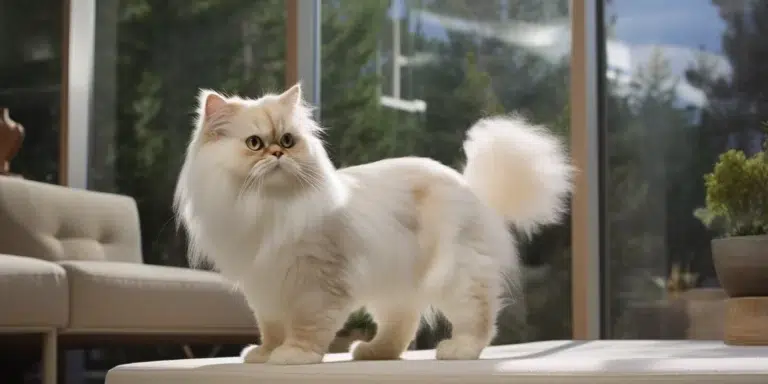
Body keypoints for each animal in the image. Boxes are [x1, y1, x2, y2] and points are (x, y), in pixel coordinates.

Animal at [172, 84, 568, 366]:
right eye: (254, 144)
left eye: (287, 140)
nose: (278, 154)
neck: (268, 206)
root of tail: (469, 186)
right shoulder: (263, 287)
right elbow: (270, 329)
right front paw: (263, 354)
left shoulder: (316, 284)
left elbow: (306, 327)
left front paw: (293, 356)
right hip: (395, 286)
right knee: (401, 327)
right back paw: (372, 352)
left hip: (456, 275)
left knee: (478, 316)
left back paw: (459, 350)